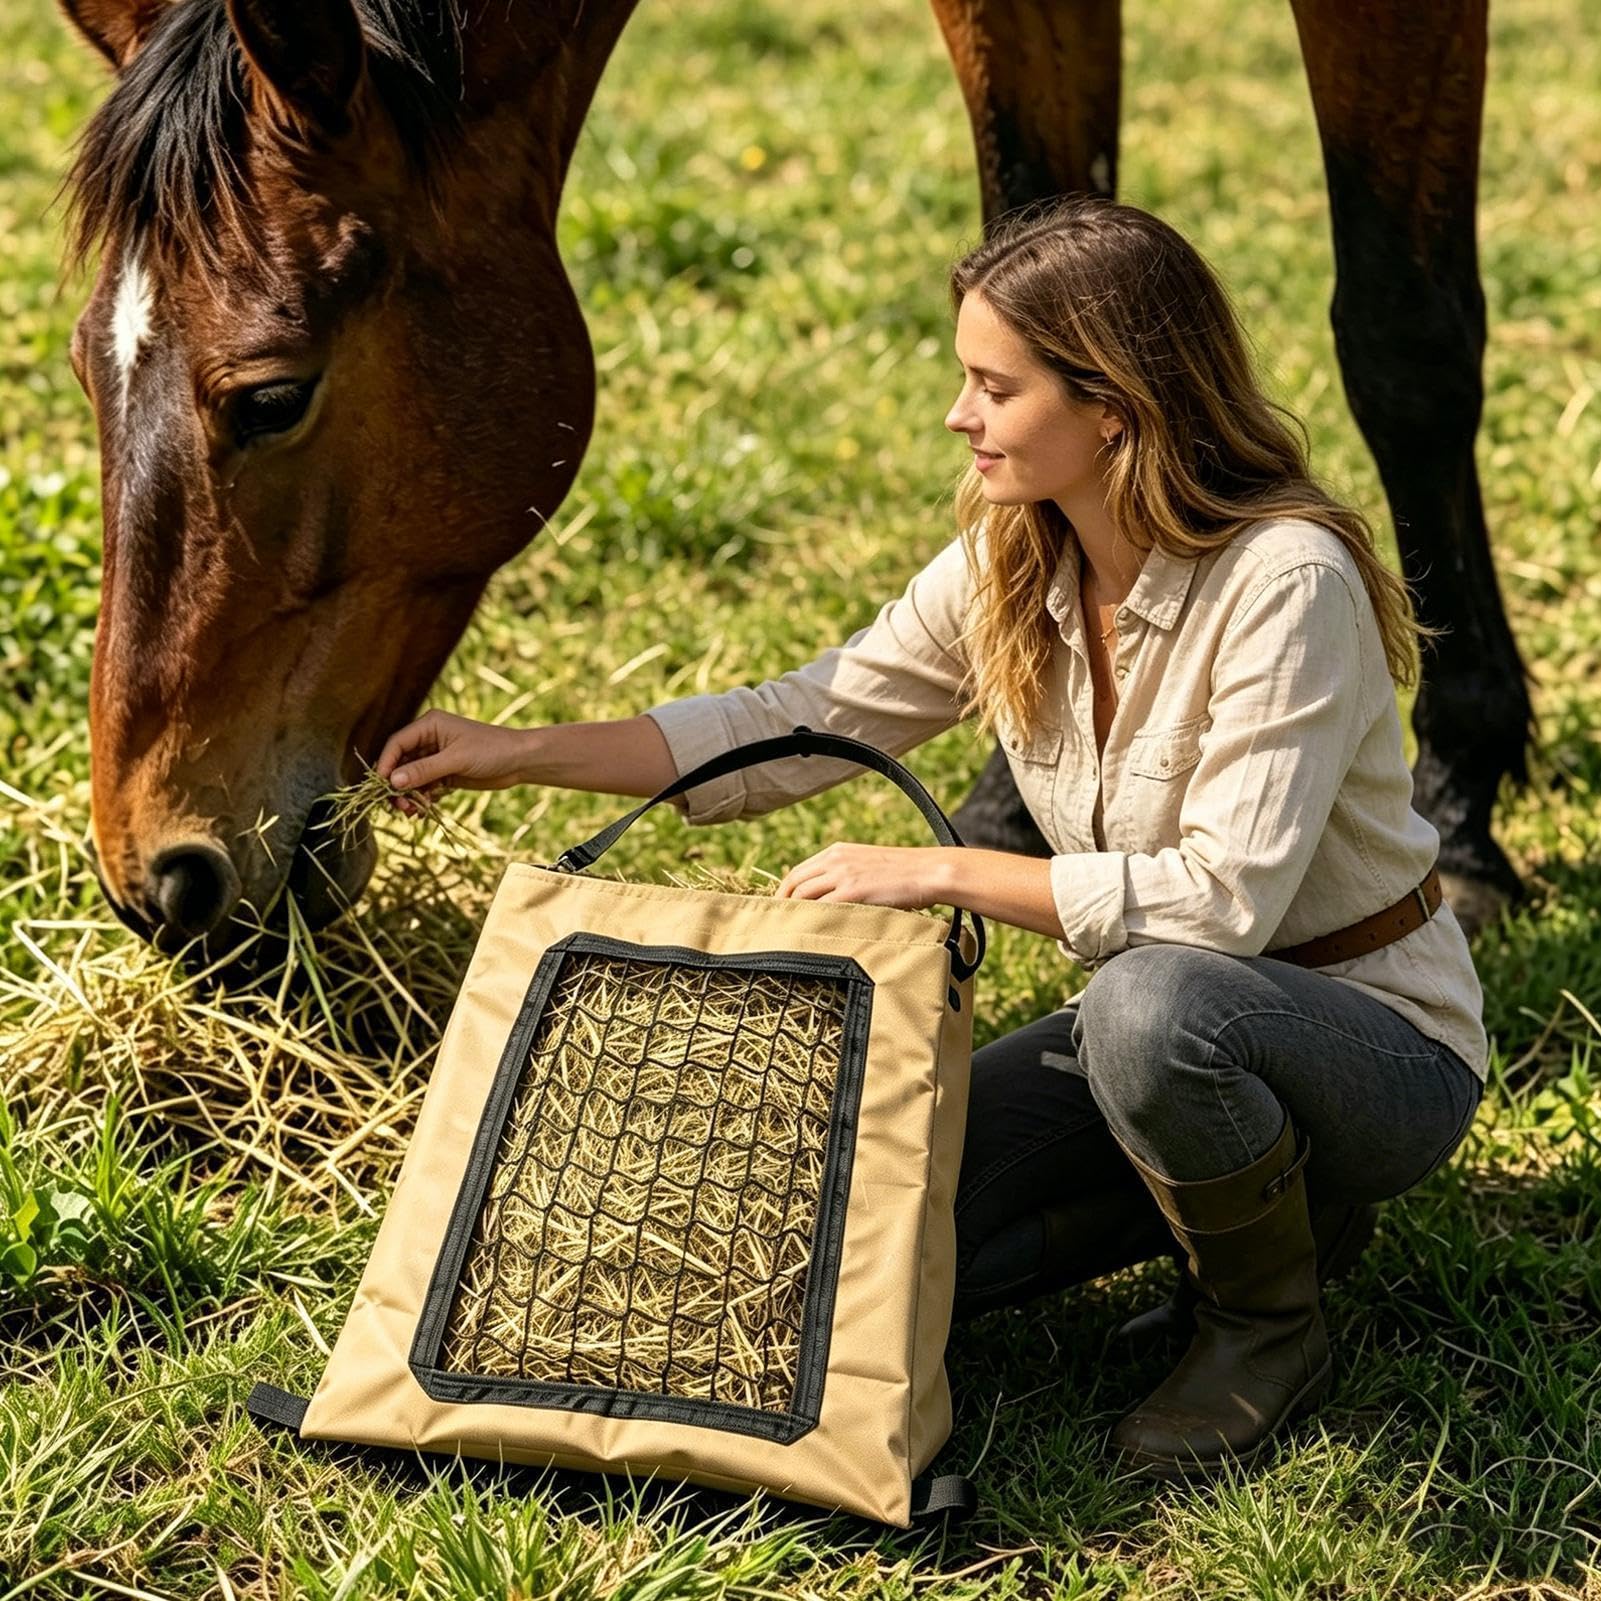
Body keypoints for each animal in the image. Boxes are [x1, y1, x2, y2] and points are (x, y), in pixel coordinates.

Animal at [54, 0, 1529, 958]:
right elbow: (1037, 216)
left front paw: (1458, 808)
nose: (158, 876)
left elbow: (1403, 333)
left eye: (272, 395)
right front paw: (1009, 794)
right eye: (79, 366)